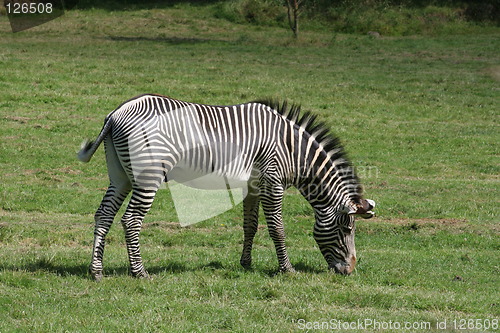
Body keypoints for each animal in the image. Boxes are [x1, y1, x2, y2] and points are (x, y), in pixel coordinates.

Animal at [78, 93, 376, 280]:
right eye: (347, 229)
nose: (350, 271)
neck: (292, 150)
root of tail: (116, 113)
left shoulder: (254, 185)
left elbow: (250, 225)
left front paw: (246, 264)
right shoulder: (273, 181)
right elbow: (277, 228)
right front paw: (287, 269)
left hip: (120, 175)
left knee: (104, 214)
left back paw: (96, 271)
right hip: (148, 174)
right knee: (131, 219)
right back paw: (139, 272)